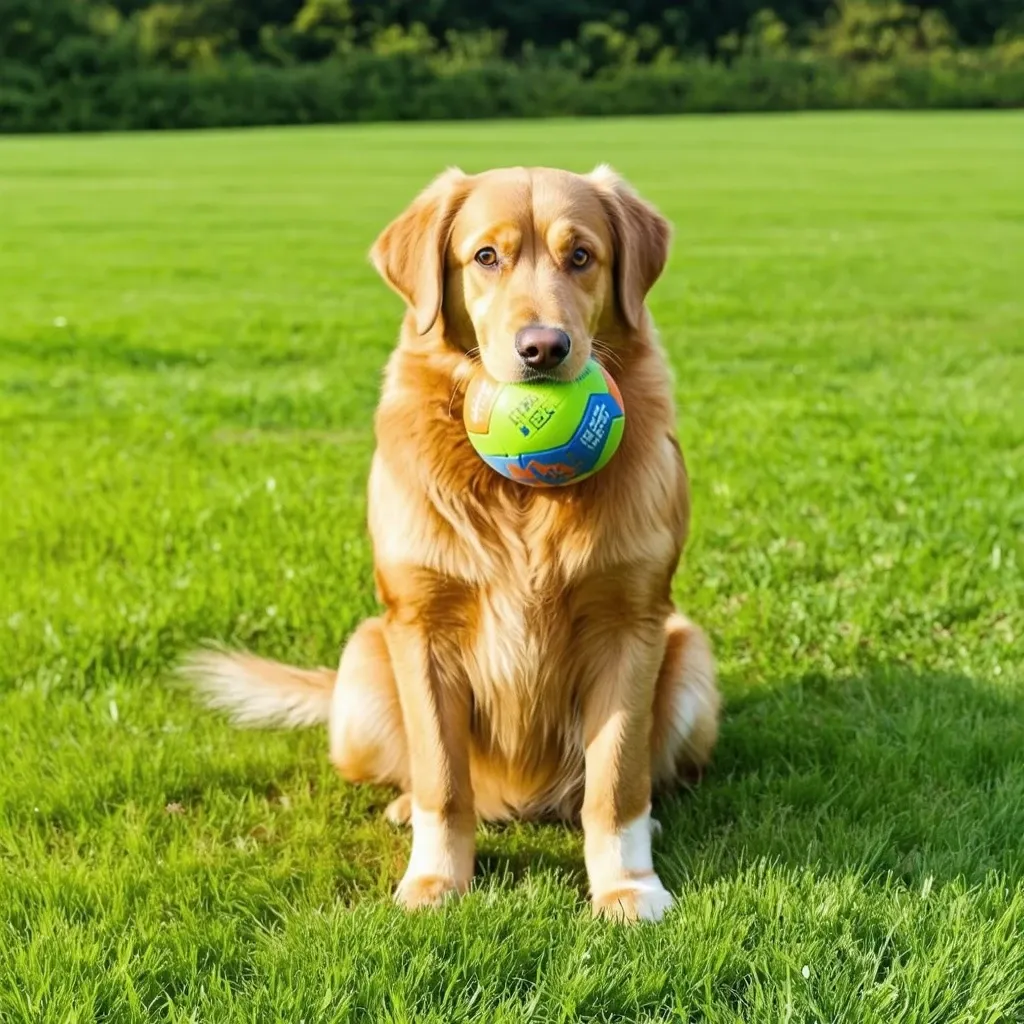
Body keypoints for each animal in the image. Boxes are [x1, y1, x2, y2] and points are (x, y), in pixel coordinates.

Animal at [190, 163, 720, 925]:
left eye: (581, 256)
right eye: (485, 257)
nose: (543, 349)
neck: (522, 497)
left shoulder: (632, 622)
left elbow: (617, 782)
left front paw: (628, 885)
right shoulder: (422, 626)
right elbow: (443, 780)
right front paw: (437, 880)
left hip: (691, 657)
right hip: (363, 671)